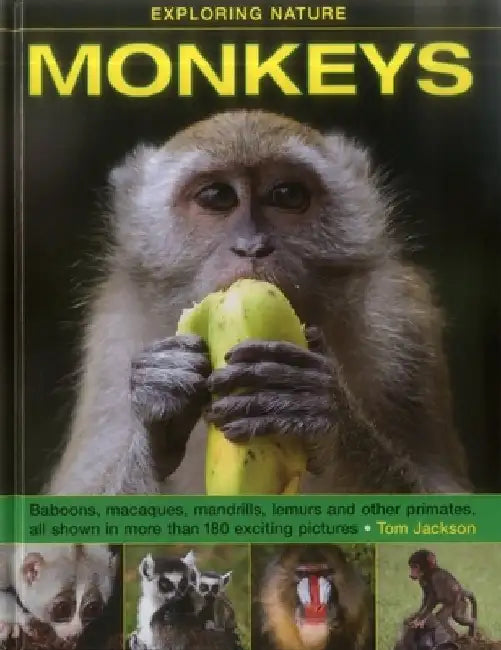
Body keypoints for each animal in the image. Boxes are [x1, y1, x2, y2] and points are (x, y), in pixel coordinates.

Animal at [45, 109, 471, 496]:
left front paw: (315, 405)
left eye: (287, 195)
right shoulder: (112, 338)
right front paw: (158, 410)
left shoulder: (403, 324)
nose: (252, 246)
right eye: (218, 197)